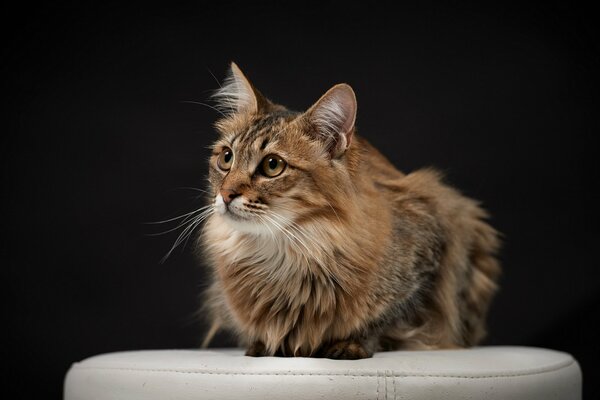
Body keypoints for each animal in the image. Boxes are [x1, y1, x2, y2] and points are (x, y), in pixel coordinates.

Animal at [198, 62, 502, 360]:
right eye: (226, 158)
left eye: (272, 165)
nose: (225, 194)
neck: (285, 251)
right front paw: (262, 345)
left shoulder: (432, 243)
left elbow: (385, 318)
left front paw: (352, 345)